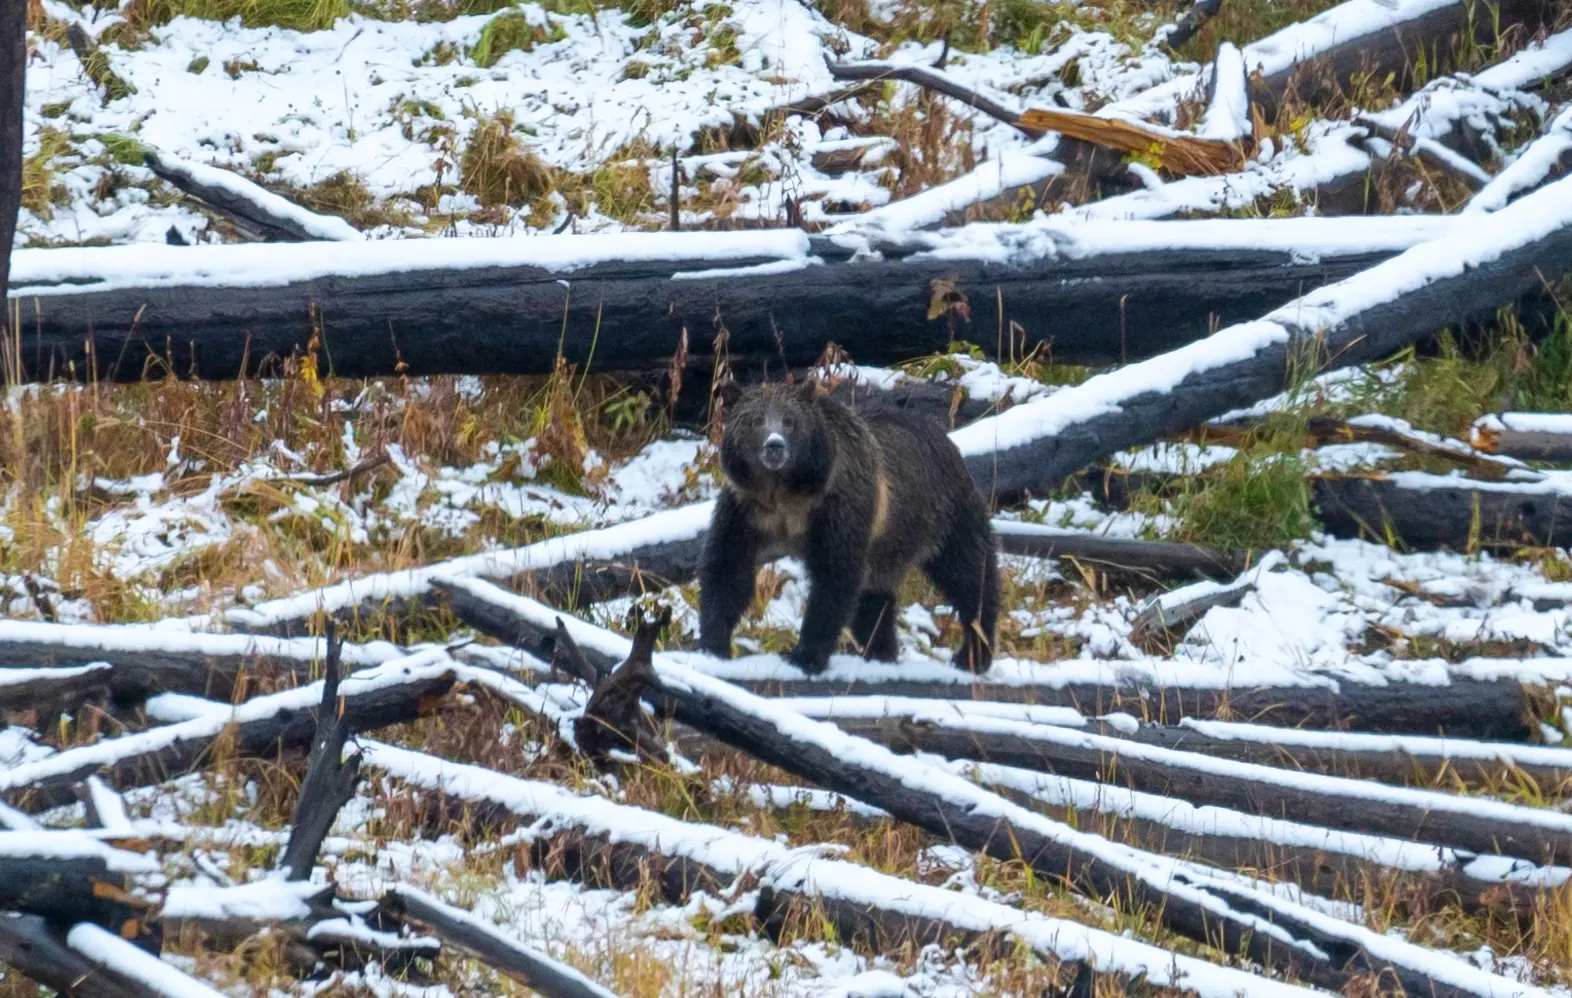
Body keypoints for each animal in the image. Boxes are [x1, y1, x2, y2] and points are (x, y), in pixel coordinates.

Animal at [696, 378, 1000, 674]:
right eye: (756, 420)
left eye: (789, 421)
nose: (774, 445)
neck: (785, 492)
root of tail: (945, 438)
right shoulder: (747, 510)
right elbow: (727, 569)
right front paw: (713, 644)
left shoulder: (838, 507)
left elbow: (835, 576)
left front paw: (805, 656)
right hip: (888, 544)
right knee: (875, 597)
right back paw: (881, 651)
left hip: (942, 514)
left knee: (968, 575)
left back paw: (973, 654)